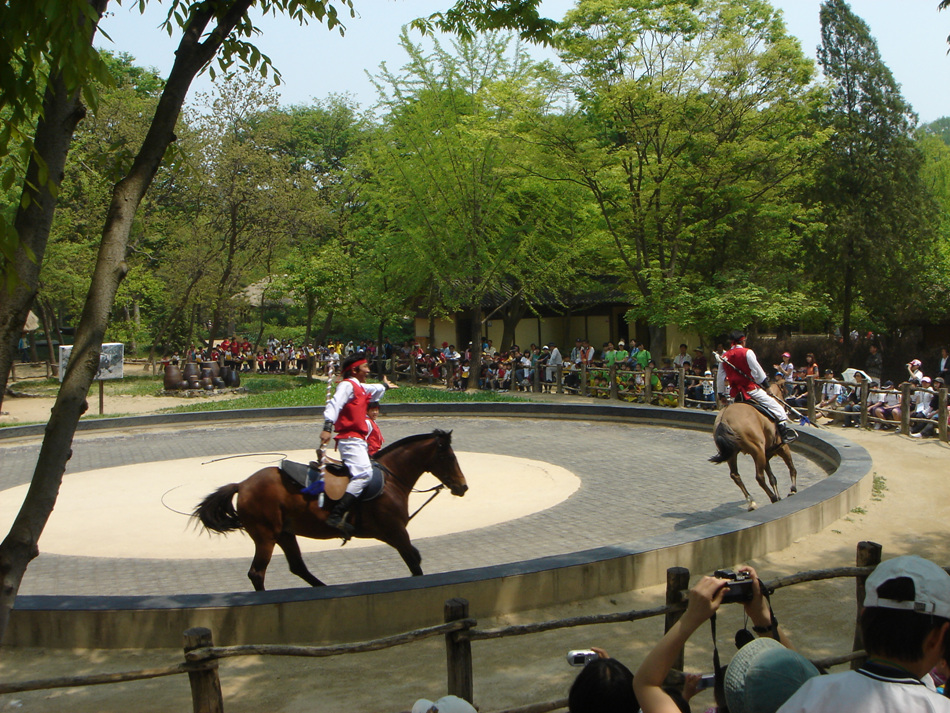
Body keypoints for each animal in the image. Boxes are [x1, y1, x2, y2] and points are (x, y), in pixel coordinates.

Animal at [195, 428, 470, 588]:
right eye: (449, 457)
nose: (463, 486)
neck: (391, 478)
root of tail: (243, 484)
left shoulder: (395, 535)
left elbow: (415, 558)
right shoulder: (395, 532)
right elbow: (414, 562)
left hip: (285, 533)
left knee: (297, 567)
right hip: (266, 536)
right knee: (257, 573)